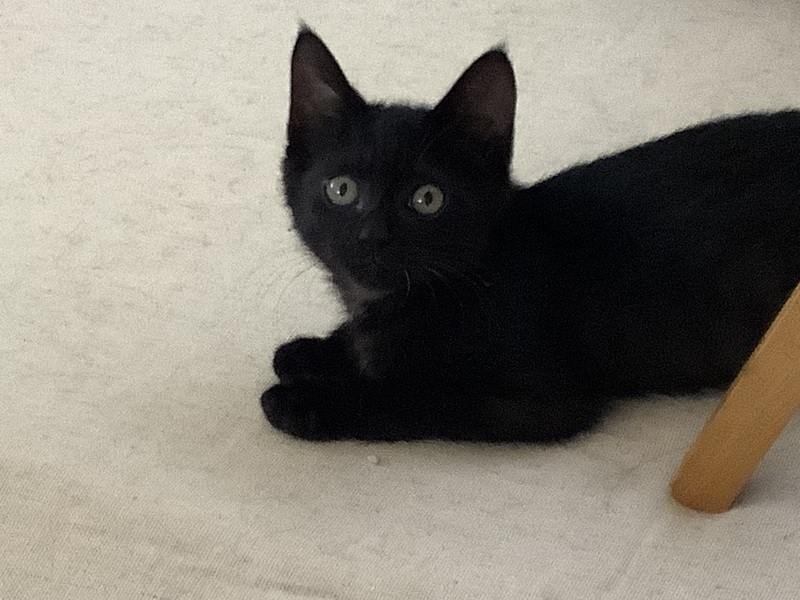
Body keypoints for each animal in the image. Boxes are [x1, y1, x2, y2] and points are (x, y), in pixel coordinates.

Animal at [261, 27, 800, 442]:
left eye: (427, 199)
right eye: (341, 189)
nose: (374, 237)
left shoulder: (538, 400)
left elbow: (409, 397)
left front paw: (306, 400)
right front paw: (314, 351)